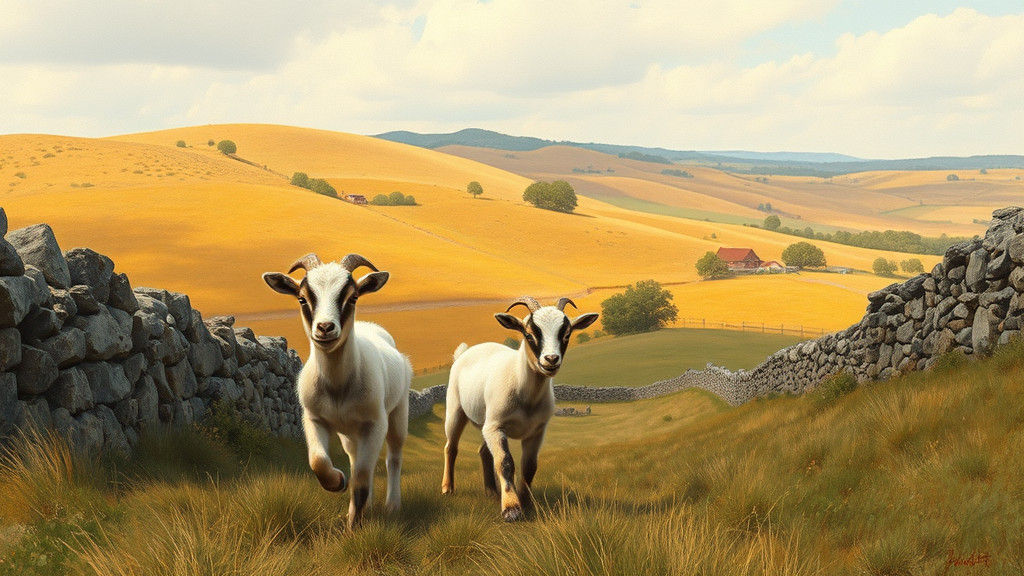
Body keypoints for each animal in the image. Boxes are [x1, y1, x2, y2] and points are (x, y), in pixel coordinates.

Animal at [263, 253, 412, 529]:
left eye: (352, 297)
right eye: (302, 298)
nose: (325, 328)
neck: (338, 387)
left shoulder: (375, 423)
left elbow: (362, 478)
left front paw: (354, 527)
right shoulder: (313, 419)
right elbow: (319, 461)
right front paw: (338, 483)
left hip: (397, 415)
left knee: (392, 458)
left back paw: (392, 506)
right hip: (349, 434)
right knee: (356, 459)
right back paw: (368, 504)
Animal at [441, 296, 598, 520]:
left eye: (566, 334)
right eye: (529, 334)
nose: (551, 360)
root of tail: (464, 352)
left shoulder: (536, 431)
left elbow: (529, 466)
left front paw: (526, 503)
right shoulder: (497, 427)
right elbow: (505, 462)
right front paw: (511, 509)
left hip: (486, 423)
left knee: (484, 451)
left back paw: (491, 492)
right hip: (456, 410)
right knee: (451, 447)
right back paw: (448, 488)